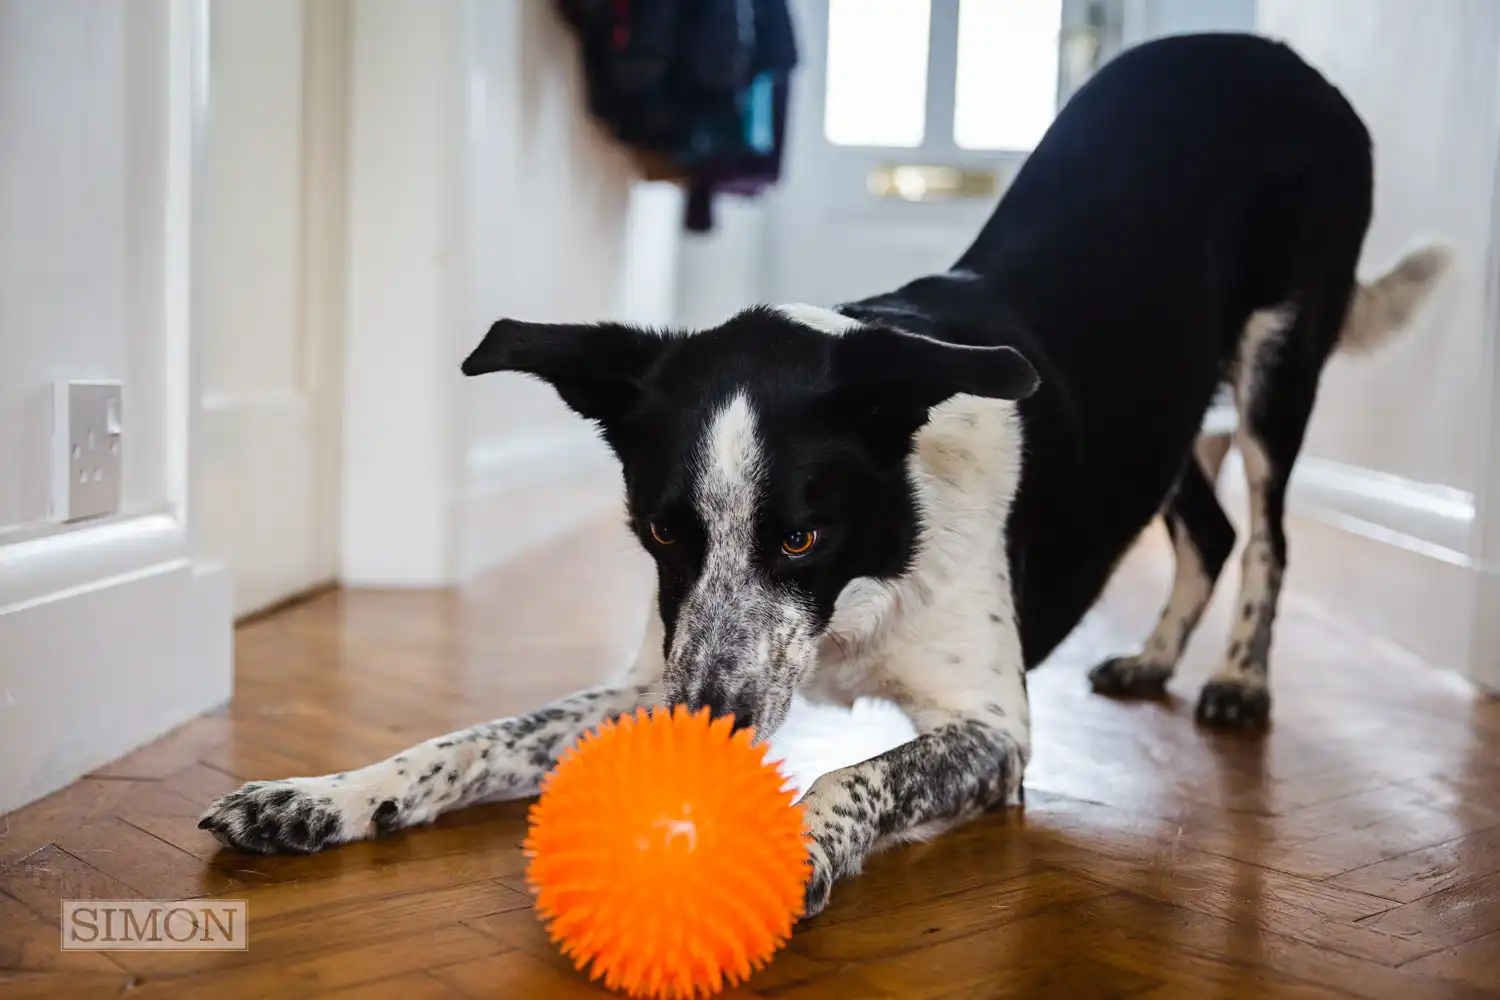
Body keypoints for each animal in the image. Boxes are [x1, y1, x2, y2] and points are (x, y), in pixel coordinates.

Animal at [205, 35, 1446, 917]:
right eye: (663, 533)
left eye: (801, 536)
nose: (705, 720)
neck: (866, 580)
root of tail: (1264, 52)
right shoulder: (650, 675)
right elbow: (475, 737)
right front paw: (325, 797)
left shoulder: (992, 731)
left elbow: (856, 775)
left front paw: (792, 845)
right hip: (1173, 407)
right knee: (1208, 528)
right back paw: (1151, 657)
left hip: (1278, 363)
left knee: (1271, 531)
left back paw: (1238, 678)